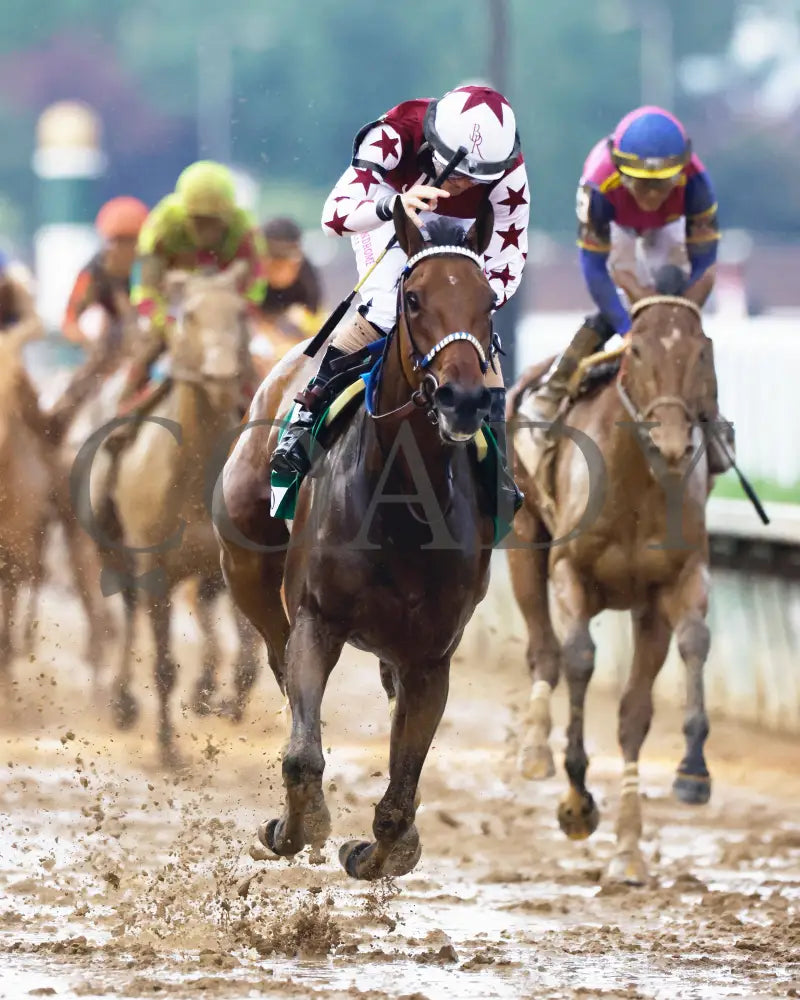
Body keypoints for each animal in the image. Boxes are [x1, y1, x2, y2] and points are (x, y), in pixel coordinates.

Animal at [216, 201, 496, 876]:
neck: (402, 505)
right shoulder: (317, 621)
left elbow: (402, 790)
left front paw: (385, 850)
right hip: (248, 571)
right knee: (277, 660)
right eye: (414, 299)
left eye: (489, 302)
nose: (463, 398)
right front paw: (299, 826)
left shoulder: (431, 656)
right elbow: (301, 753)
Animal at [512, 274, 720, 884]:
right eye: (638, 351)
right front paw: (577, 800)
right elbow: (579, 658)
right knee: (545, 652)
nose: (674, 441)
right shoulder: (569, 572)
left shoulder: (673, 585)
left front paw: (688, 776)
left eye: (703, 350)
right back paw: (536, 751)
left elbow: (652, 693)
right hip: (523, 543)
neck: (635, 481)